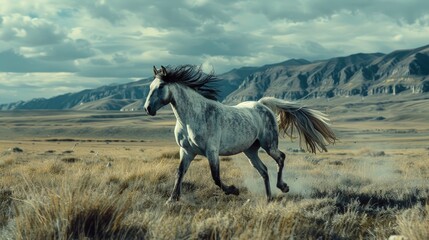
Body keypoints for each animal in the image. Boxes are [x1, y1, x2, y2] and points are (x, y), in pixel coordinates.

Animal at [142, 64, 336, 202]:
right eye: (150, 86)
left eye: (160, 86)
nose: (147, 108)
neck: (193, 117)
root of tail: (262, 104)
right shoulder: (187, 151)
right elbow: (179, 172)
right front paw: (172, 199)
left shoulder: (212, 152)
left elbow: (216, 177)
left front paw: (234, 190)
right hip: (250, 151)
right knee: (264, 170)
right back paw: (269, 198)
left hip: (269, 145)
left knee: (280, 158)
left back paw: (283, 187)